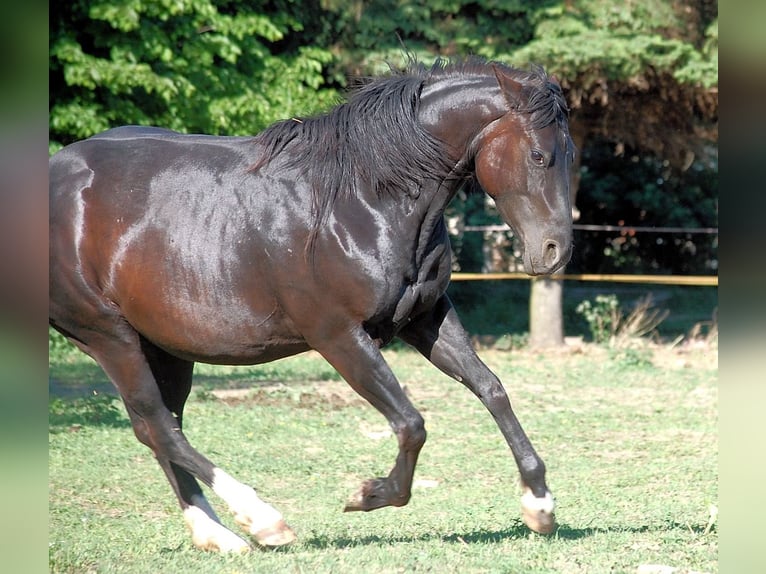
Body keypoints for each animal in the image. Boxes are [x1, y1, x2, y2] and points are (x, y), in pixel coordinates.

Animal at [49, 57, 576, 552]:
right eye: (538, 154)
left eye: (570, 155)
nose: (555, 251)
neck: (364, 198)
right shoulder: (337, 335)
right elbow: (411, 423)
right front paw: (370, 494)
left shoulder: (425, 318)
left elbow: (492, 389)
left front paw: (539, 505)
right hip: (108, 335)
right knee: (158, 426)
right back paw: (262, 521)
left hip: (164, 347)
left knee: (159, 427)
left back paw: (218, 535)